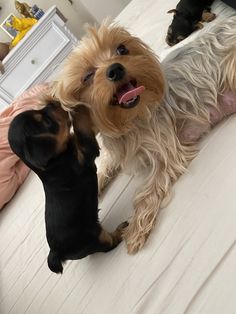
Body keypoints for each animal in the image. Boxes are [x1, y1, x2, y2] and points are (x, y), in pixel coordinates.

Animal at [7, 100, 127, 272]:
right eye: (46, 122)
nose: (53, 102)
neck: (55, 163)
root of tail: (55, 252)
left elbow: (79, 132)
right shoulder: (85, 153)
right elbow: (81, 128)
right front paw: (77, 109)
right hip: (95, 239)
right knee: (108, 244)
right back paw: (120, 231)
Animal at [52, 17, 236, 254]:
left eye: (122, 49)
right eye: (87, 76)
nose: (115, 68)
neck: (128, 121)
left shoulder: (166, 152)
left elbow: (147, 192)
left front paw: (135, 231)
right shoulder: (118, 152)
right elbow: (104, 168)